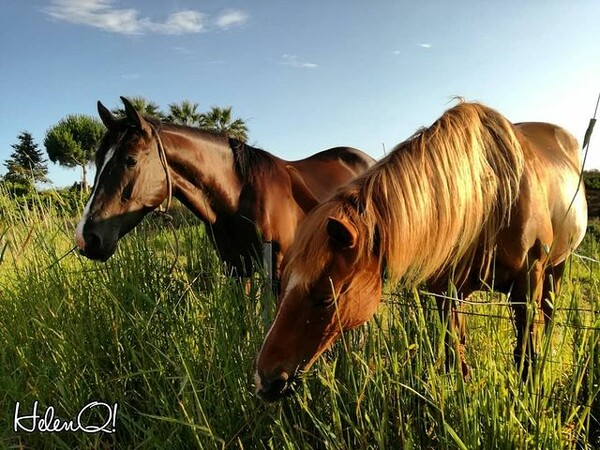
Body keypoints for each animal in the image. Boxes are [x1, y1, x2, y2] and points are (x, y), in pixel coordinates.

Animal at [75, 96, 376, 276]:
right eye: (97, 159)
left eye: (130, 160)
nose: (86, 238)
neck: (239, 198)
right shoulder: (236, 268)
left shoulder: (278, 270)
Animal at [255, 101, 588, 400]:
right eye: (283, 286)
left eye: (326, 298)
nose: (265, 379)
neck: (489, 198)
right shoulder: (446, 291)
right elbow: (455, 353)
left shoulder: (526, 284)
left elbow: (525, 354)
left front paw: (529, 397)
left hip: (556, 268)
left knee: (549, 313)